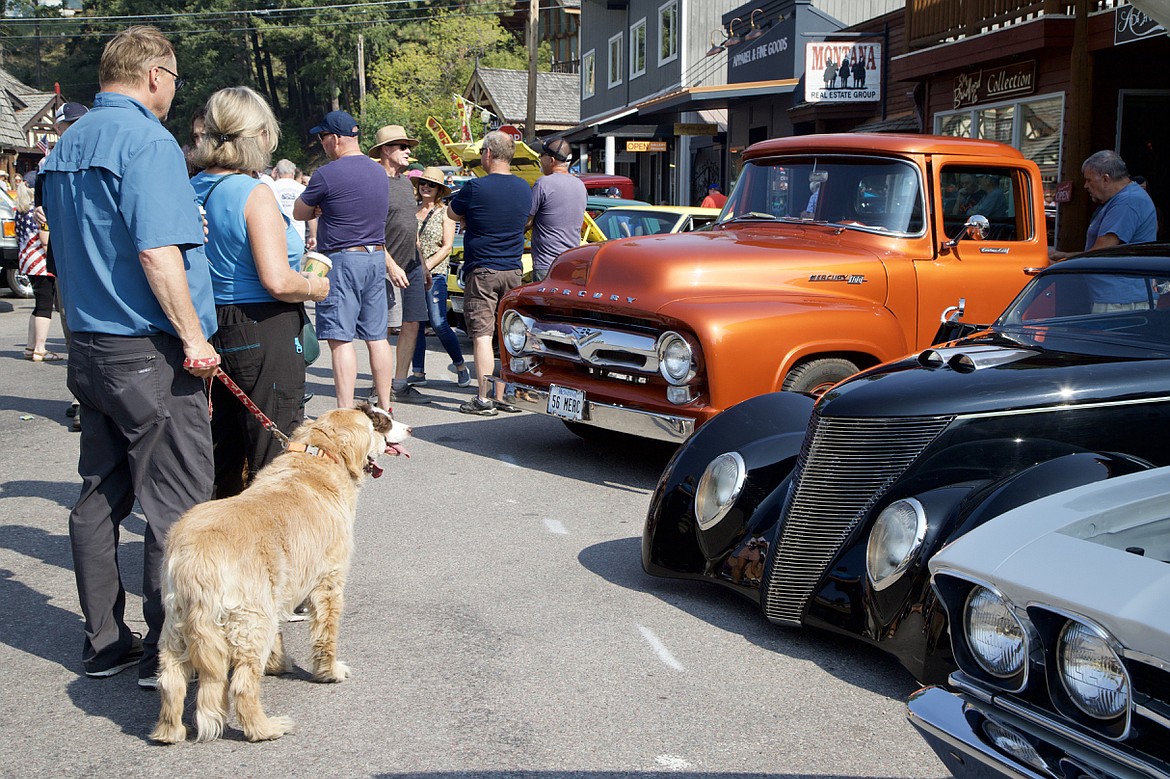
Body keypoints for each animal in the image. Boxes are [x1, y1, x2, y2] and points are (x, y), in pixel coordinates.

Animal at [150, 400, 409, 739]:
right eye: (382, 422)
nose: (410, 429)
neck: (319, 454)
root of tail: (197, 557)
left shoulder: (276, 594)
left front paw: (278, 663)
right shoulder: (328, 583)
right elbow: (326, 635)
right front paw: (329, 672)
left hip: (178, 625)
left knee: (170, 681)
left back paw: (169, 732)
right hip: (250, 621)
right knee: (241, 685)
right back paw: (265, 728)